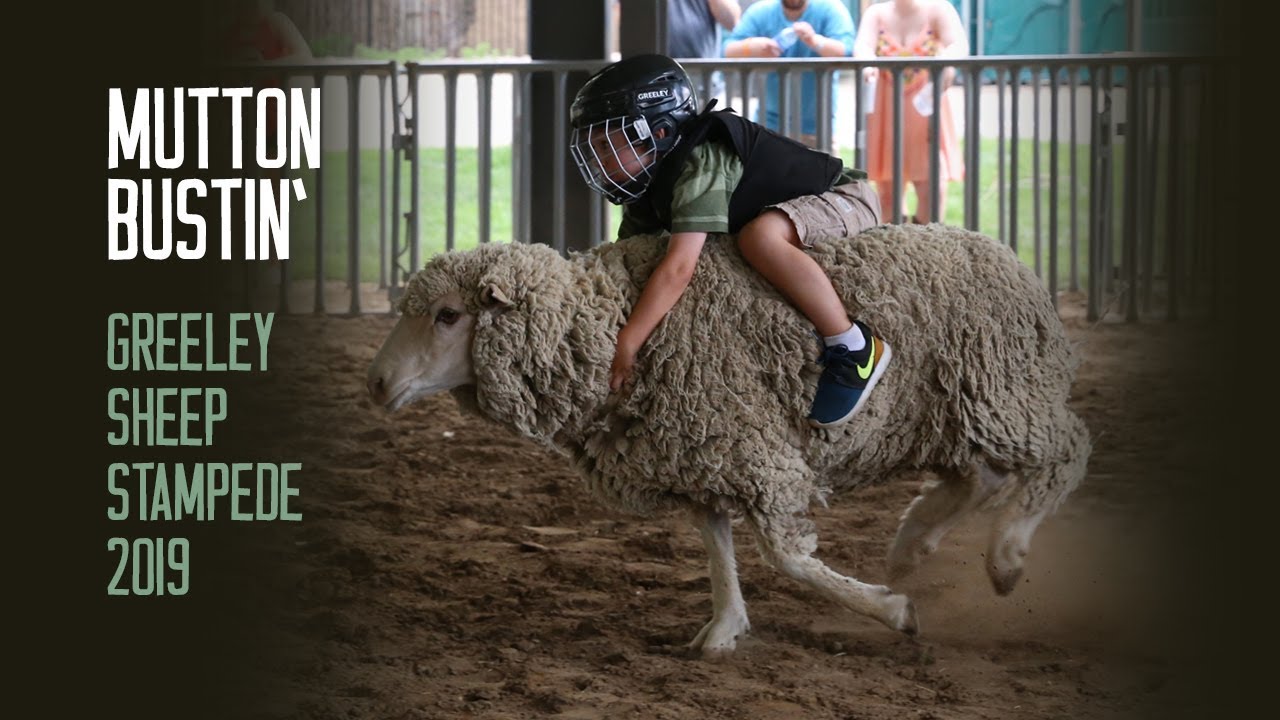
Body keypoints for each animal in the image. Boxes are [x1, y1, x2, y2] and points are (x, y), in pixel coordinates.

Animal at [366, 223, 1091, 658]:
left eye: (448, 316)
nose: (376, 383)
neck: (615, 325)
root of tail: (1015, 263)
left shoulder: (754, 450)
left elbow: (789, 558)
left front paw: (895, 612)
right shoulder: (703, 451)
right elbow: (716, 545)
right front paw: (722, 629)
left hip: (1005, 391)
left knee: (1067, 452)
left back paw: (1005, 556)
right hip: (957, 411)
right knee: (983, 476)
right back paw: (916, 541)